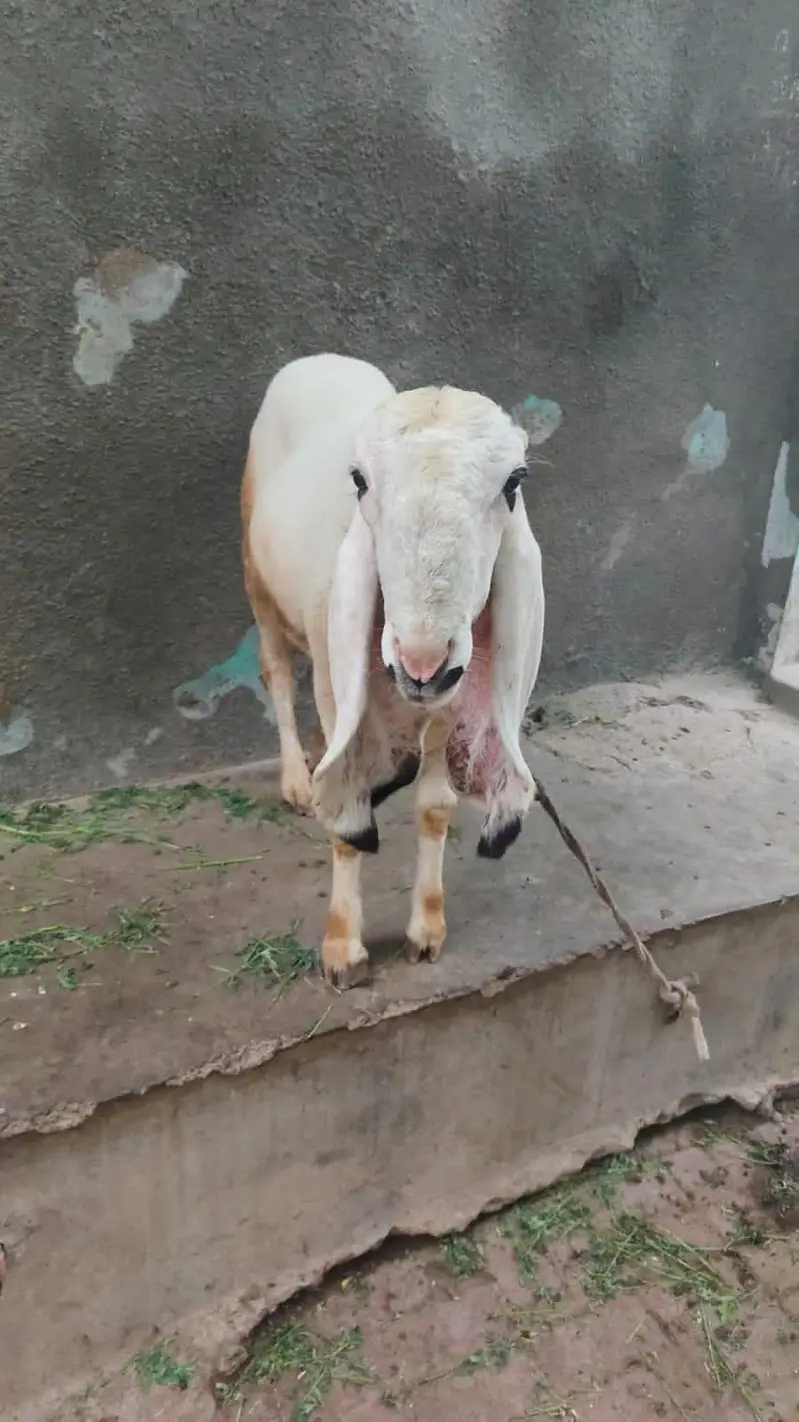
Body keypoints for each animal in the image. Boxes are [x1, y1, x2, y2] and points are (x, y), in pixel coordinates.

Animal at [241, 353, 545, 988]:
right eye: (358, 480)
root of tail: (322, 358)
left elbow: (435, 807)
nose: (420, 662)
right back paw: (296, 778)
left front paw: (426, 931)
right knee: (277, 676)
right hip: (257, 578)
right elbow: (346, 808)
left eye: (514, 481)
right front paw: (343, 949)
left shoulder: (448, 703)